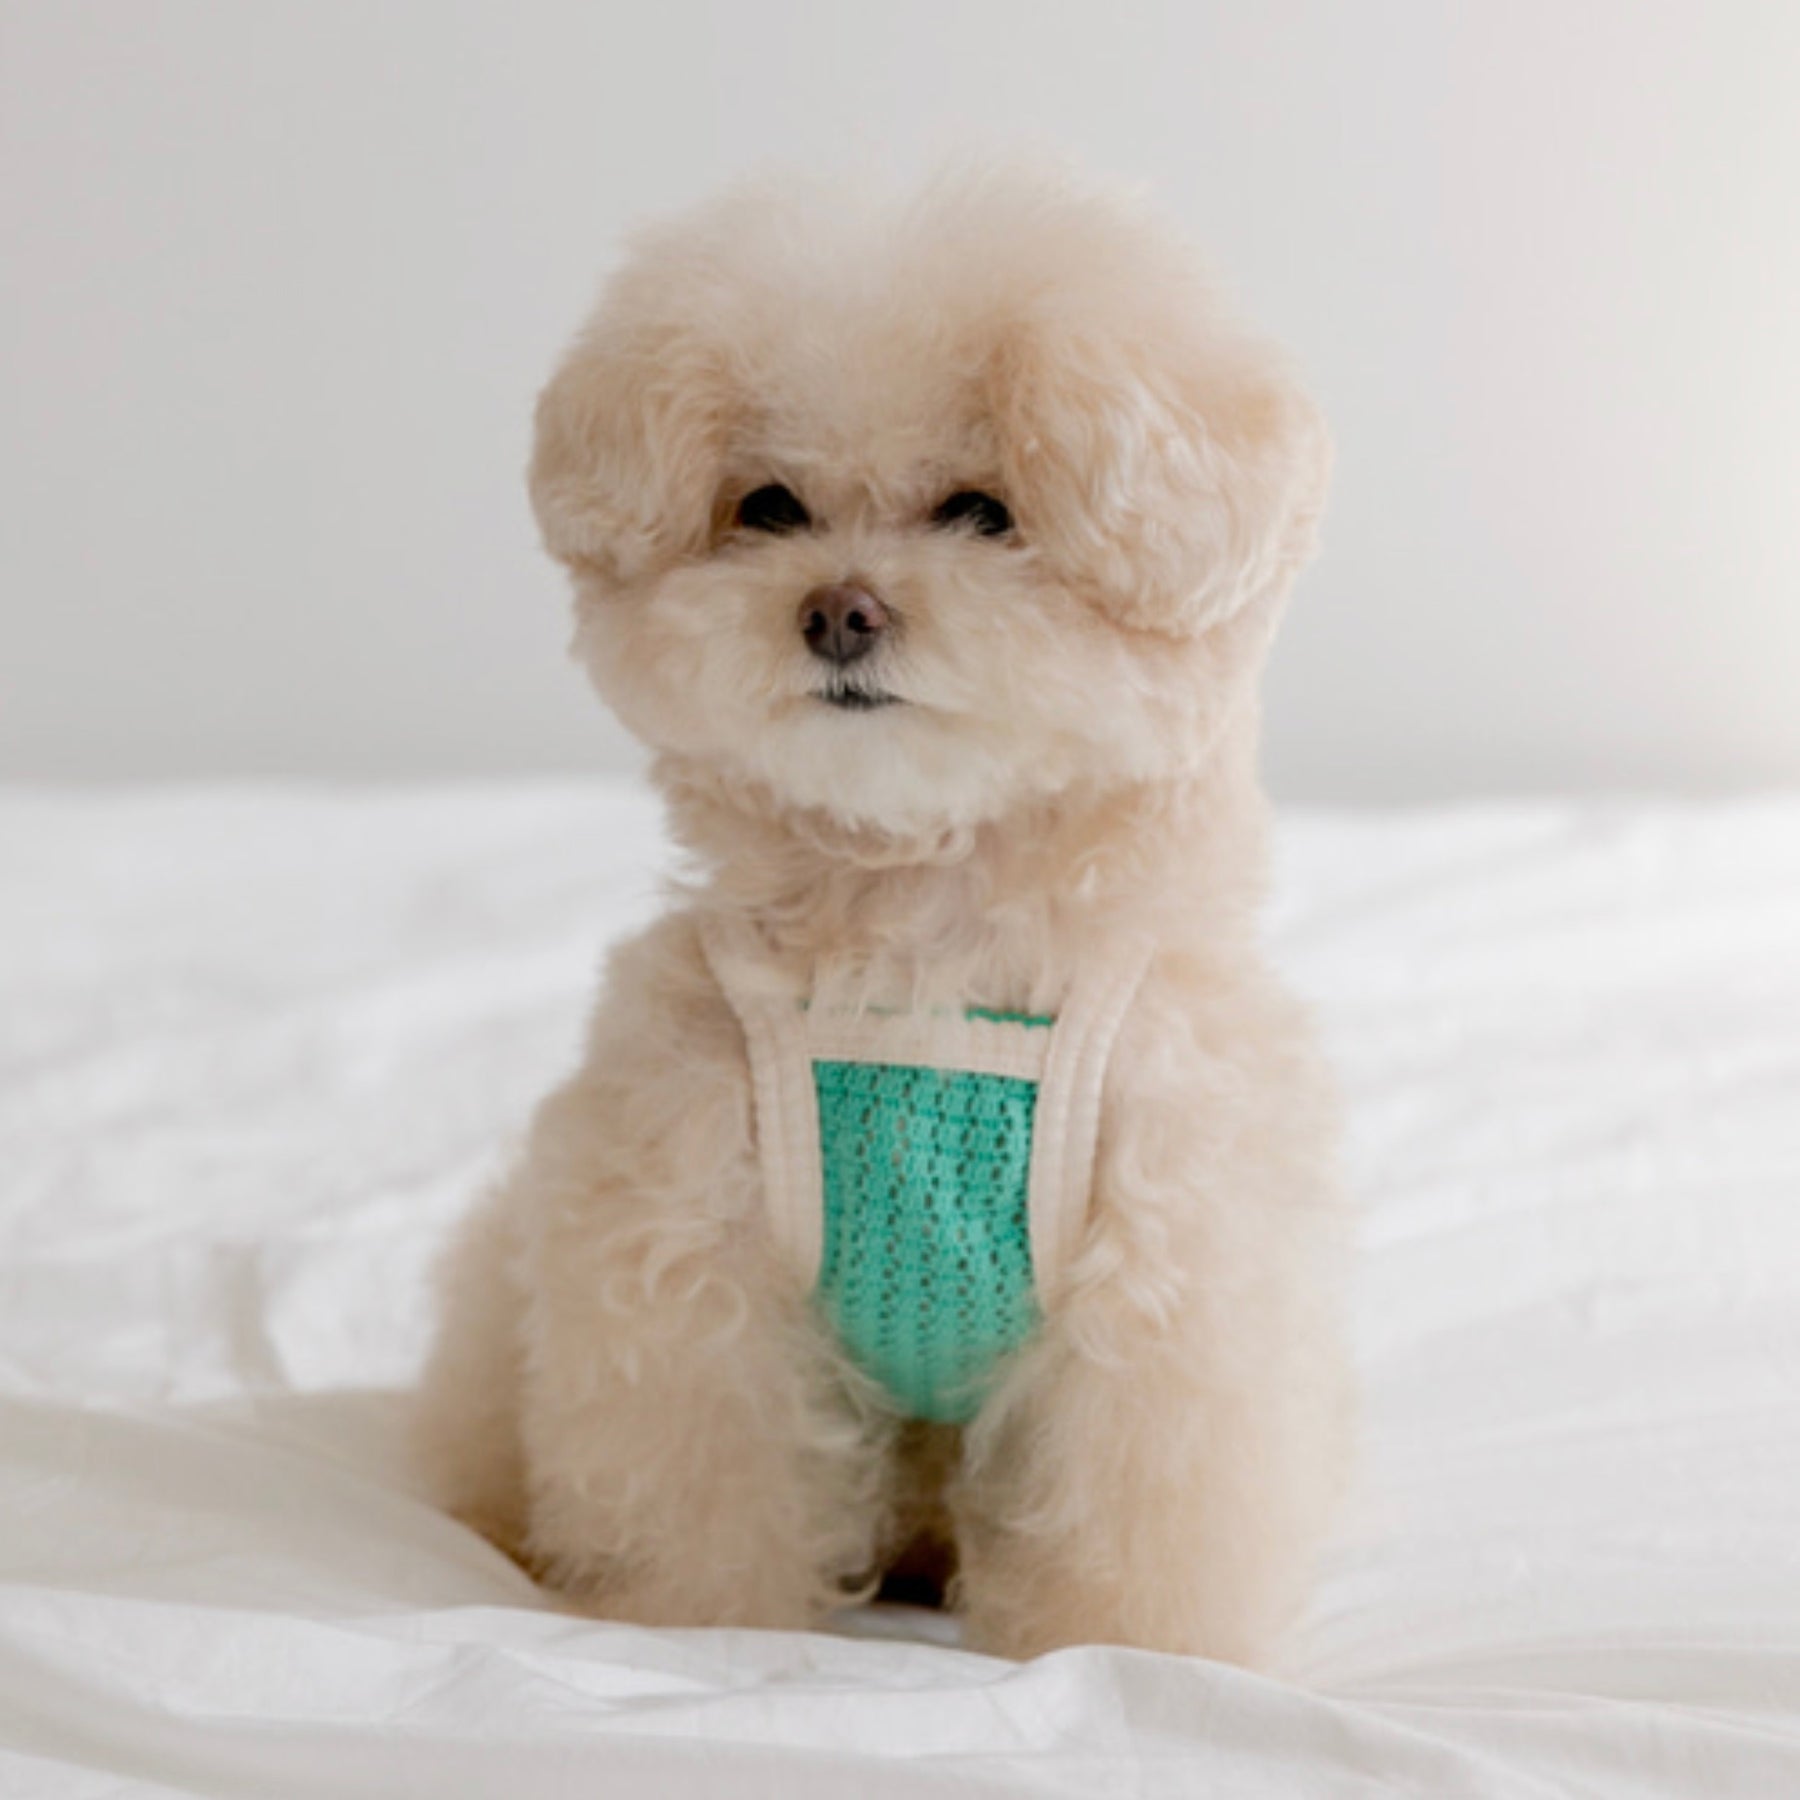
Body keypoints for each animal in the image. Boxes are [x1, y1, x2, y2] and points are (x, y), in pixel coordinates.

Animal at [414, 162, 1351, 1664]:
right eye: (769, 505)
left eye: (980, 510)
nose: (840, 612)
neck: (919, 919)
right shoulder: (684, 1244)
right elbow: (701, 1472)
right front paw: (695, 1628)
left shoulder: (1170, 1272)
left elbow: (1140, 1496)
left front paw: (1127, 1652)